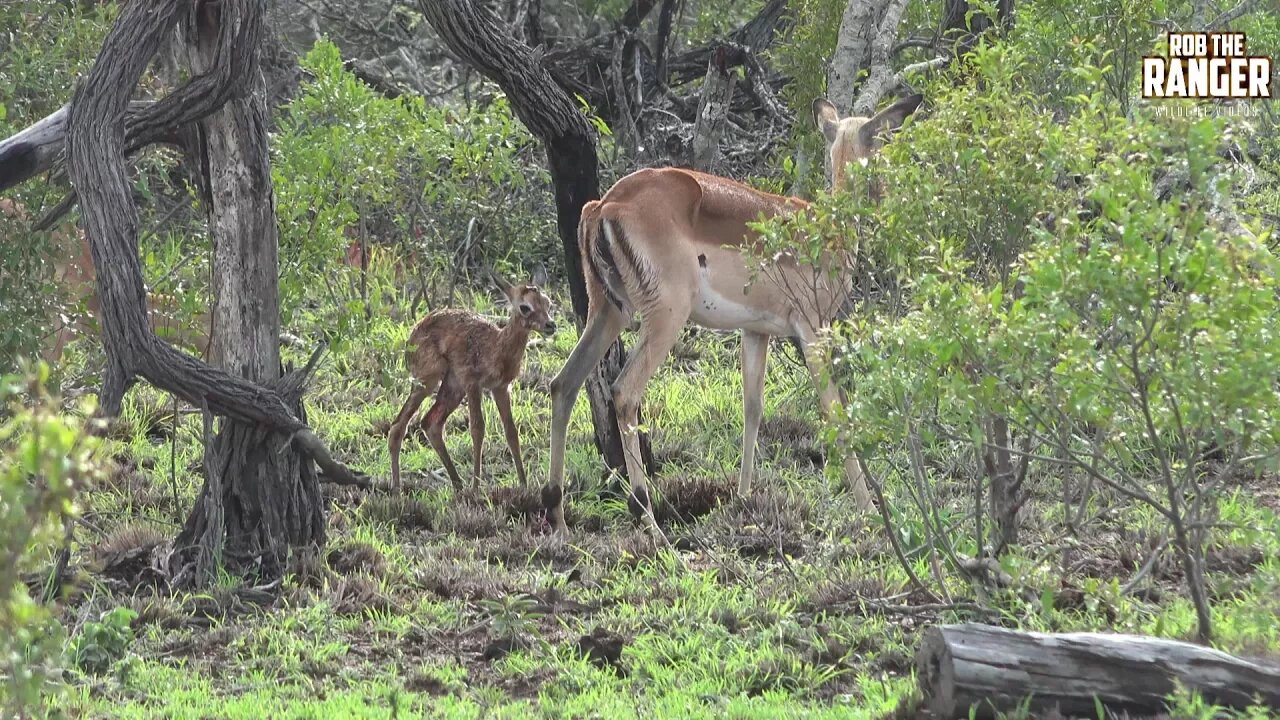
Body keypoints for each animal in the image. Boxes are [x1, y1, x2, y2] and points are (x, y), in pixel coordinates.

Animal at [384, 266, 555, 489]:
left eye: (547, 302)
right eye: (525, 307)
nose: (551, 325)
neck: (498, 347)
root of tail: (411, 337)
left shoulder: (501, 387)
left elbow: (511, 431)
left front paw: (524, 485)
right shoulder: (473, 383)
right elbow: (477, 429)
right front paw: (477, 487)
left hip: (452, 386)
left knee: (430, 423)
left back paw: (458, 485)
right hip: (427, 381)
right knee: (398, 426)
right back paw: (397, 489)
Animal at [545, 92, 926, 530]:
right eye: (883, 142)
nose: (896, 189)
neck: (827, 231)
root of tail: (604, 205)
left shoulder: (756, 331)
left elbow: (752, 409)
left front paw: (742, 499)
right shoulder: (812, 328)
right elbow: (834, 411)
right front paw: (868, 509)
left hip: (607, 312)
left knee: (563, 384)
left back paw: (557, 516)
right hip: (665, 316)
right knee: (624, 392)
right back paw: (649, 519)